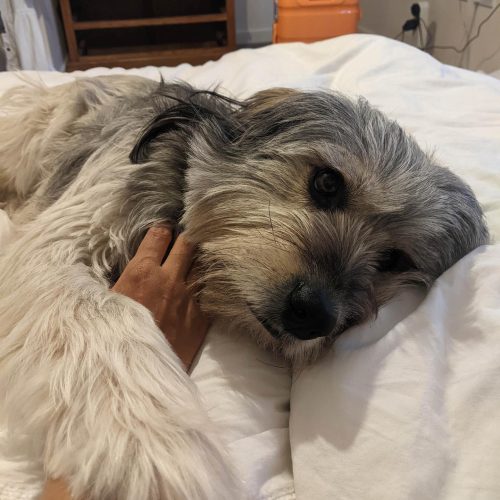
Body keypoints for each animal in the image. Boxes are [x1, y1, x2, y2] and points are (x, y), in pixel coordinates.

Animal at [0, 75, 488, 500]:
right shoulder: (61, 243)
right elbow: (110, 315)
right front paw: (151, 449)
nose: (312, 314)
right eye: (327, 182)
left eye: (394, 260)